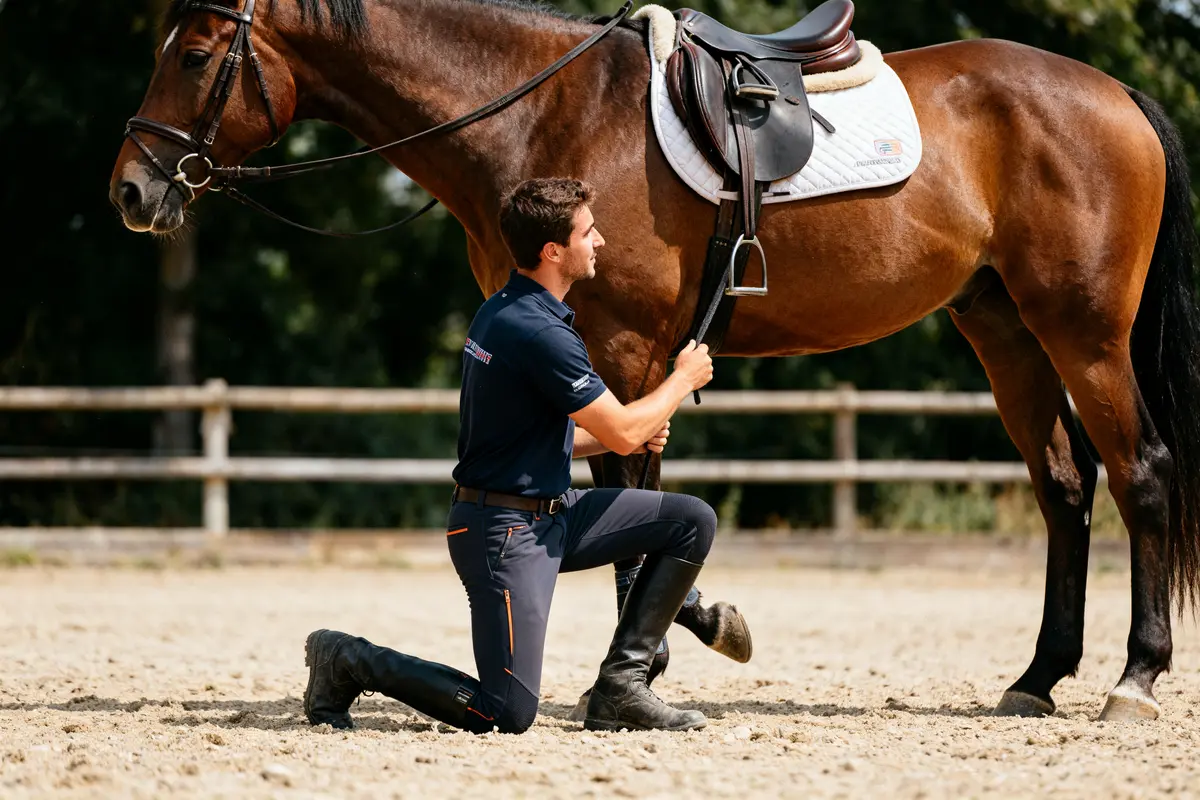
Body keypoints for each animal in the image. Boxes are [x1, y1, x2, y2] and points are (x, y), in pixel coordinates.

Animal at [110, 0, 1200, 723]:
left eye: (196, 53)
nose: (131, 189)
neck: (542, 114)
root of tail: (1115, 93)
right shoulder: (602, 355)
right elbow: (625, 503)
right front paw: (688, 635)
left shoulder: (627, 349)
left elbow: (636, 501)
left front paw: (636, 671)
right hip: (1005, 330)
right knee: (1065, 489)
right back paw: (1037, 678)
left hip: (1083, 331)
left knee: (1140, 475)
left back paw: (1135, 679)